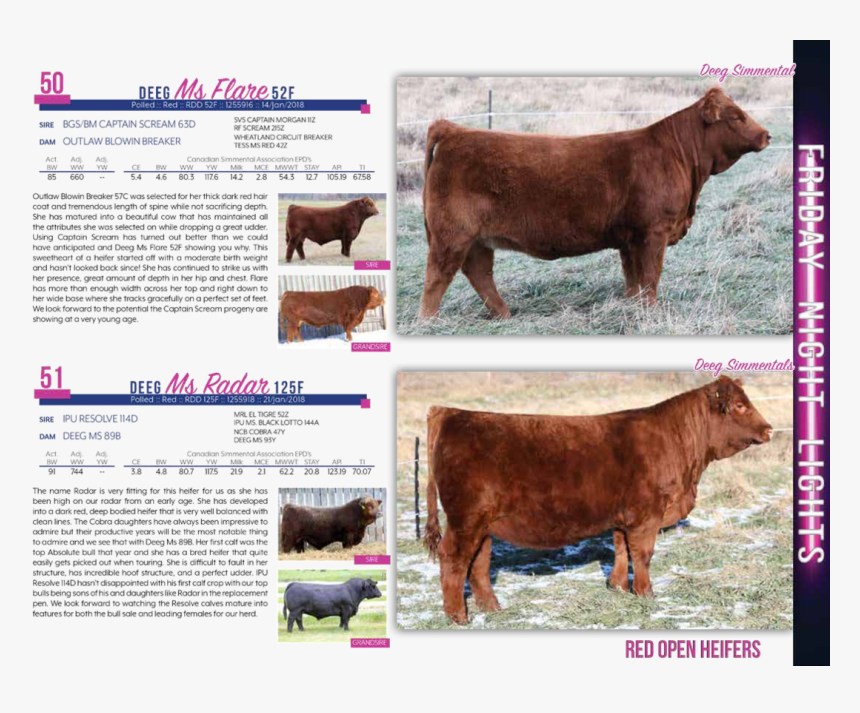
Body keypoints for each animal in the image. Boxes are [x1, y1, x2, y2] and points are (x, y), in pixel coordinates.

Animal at [419, 87, 772, 318]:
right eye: (735, 116)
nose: (767, 135)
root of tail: (453, 129)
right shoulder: (652, 232)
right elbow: (650, 277)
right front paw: (650, 312)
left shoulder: (630, 238)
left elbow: (632, 278)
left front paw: (631, 307)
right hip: (451, 234)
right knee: (438, 277)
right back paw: (429, 322)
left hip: (477, 240)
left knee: (479, 273)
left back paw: (504, 314)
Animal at [423, 376, 773, 624]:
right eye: (740, 406)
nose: (769, 429)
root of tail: (449, 412)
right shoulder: (646, 515)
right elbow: (642, 554)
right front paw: (646, 594)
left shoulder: (624, 515)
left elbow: (620, 549)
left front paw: (617, 587)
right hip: (466, 519)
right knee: (454, 558)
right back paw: (458, 616)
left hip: (483, 522)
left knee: (478, 563)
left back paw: (492, 608)